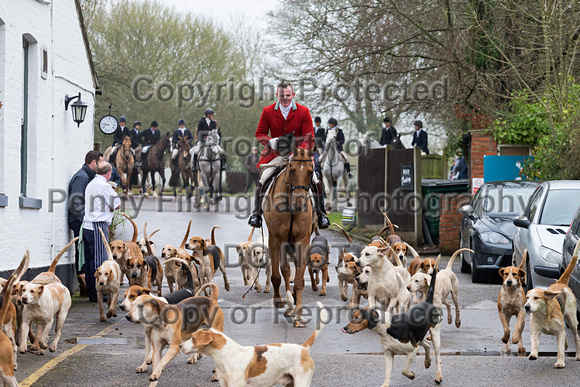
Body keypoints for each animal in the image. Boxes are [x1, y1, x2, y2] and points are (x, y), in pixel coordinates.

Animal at [266, 147, 314, 328]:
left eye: (310, 171)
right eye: (292, 170)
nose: (299, 203)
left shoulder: (303, 241)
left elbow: (299, 280)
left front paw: (299, 315)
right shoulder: (275, 239)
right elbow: (277, 274)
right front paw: (280, 300)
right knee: (284, 271)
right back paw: (287, 304)